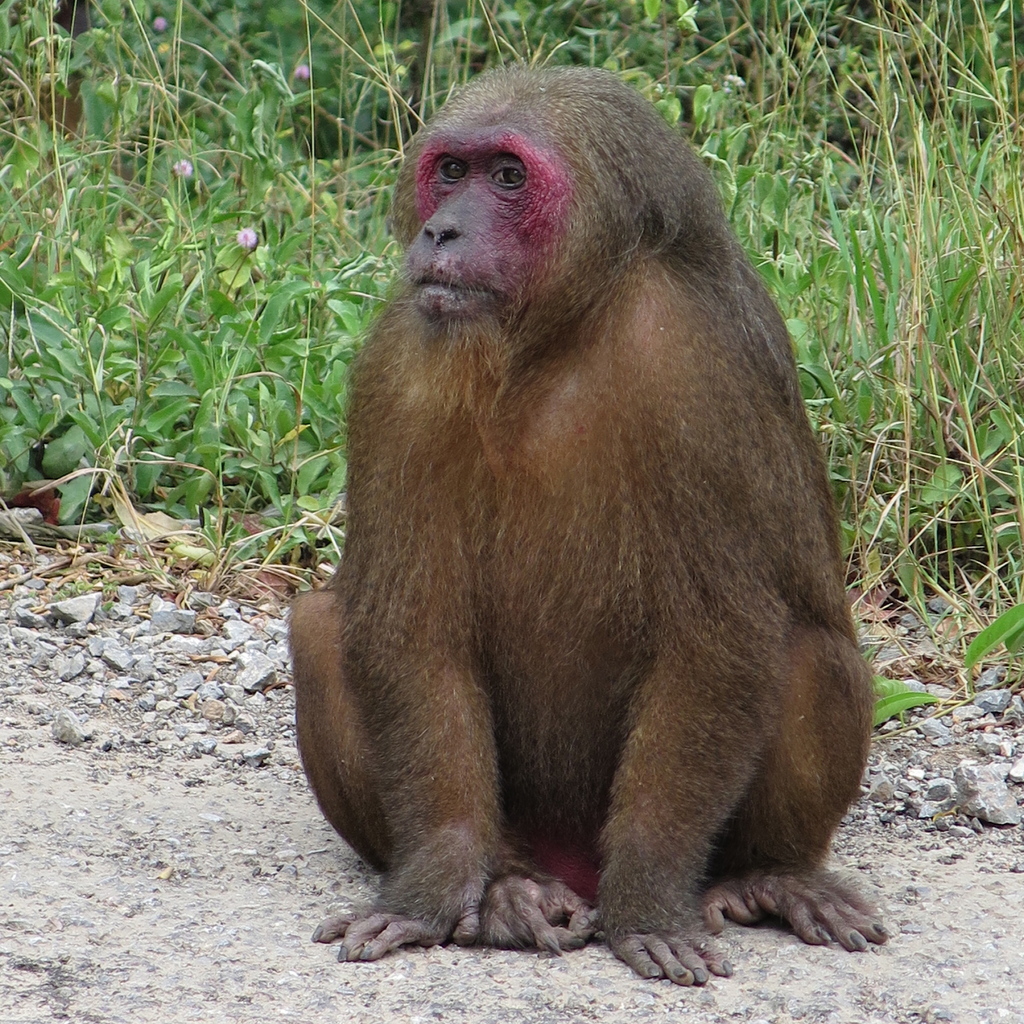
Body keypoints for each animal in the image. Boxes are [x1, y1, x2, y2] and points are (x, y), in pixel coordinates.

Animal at [289, 64, 887, 985]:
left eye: (508, 177)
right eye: (451, 172)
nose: (442, 230)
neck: (552, 338)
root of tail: (569, 859)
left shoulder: (689, 361)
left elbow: (719, 637)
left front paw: (645, 899)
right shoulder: (402, 356)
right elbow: (409, 626)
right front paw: (435, 883)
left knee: (807, 651)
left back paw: (770, 875)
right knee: (323, 625)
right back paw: (508, 885)